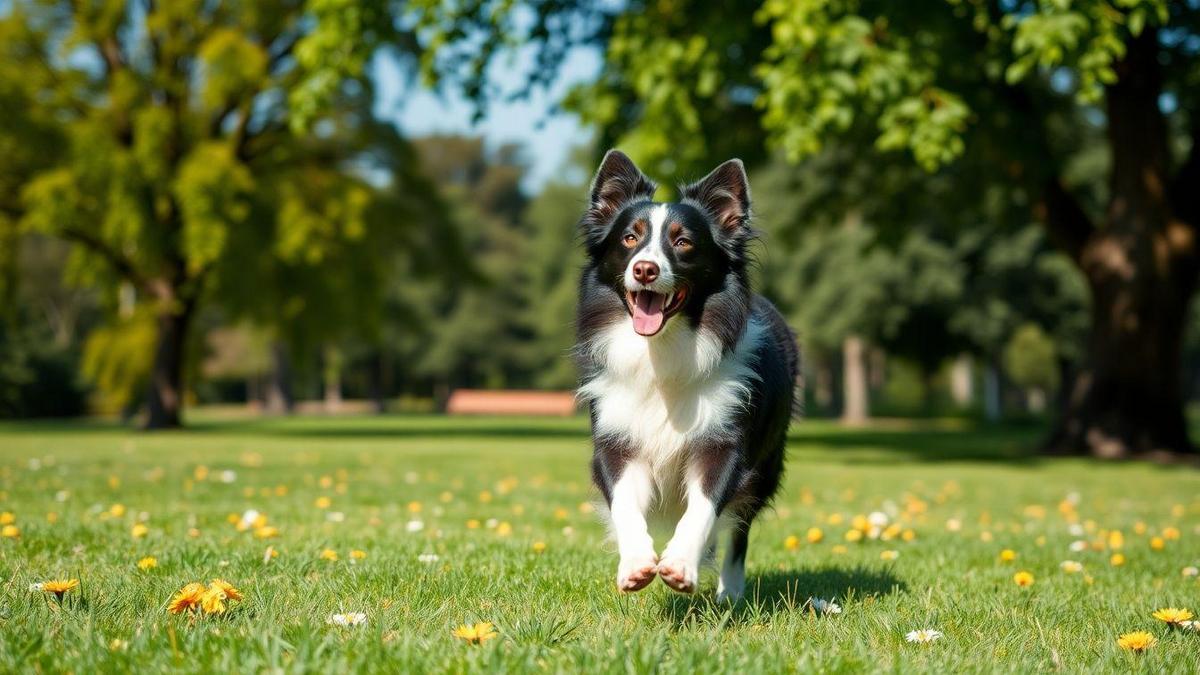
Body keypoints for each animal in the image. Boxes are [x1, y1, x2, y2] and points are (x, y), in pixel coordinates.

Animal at [576, 148, 801, 598]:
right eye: (630, 238)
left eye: (683, 243)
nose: (645, 269)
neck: (662, 350)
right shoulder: (617, 437)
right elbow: (625, 502)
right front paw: (636, 563)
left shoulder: (725, 441)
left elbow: (704, 508)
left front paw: (681, 564)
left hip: (766, 465)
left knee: (739, 530)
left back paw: (731, 593)